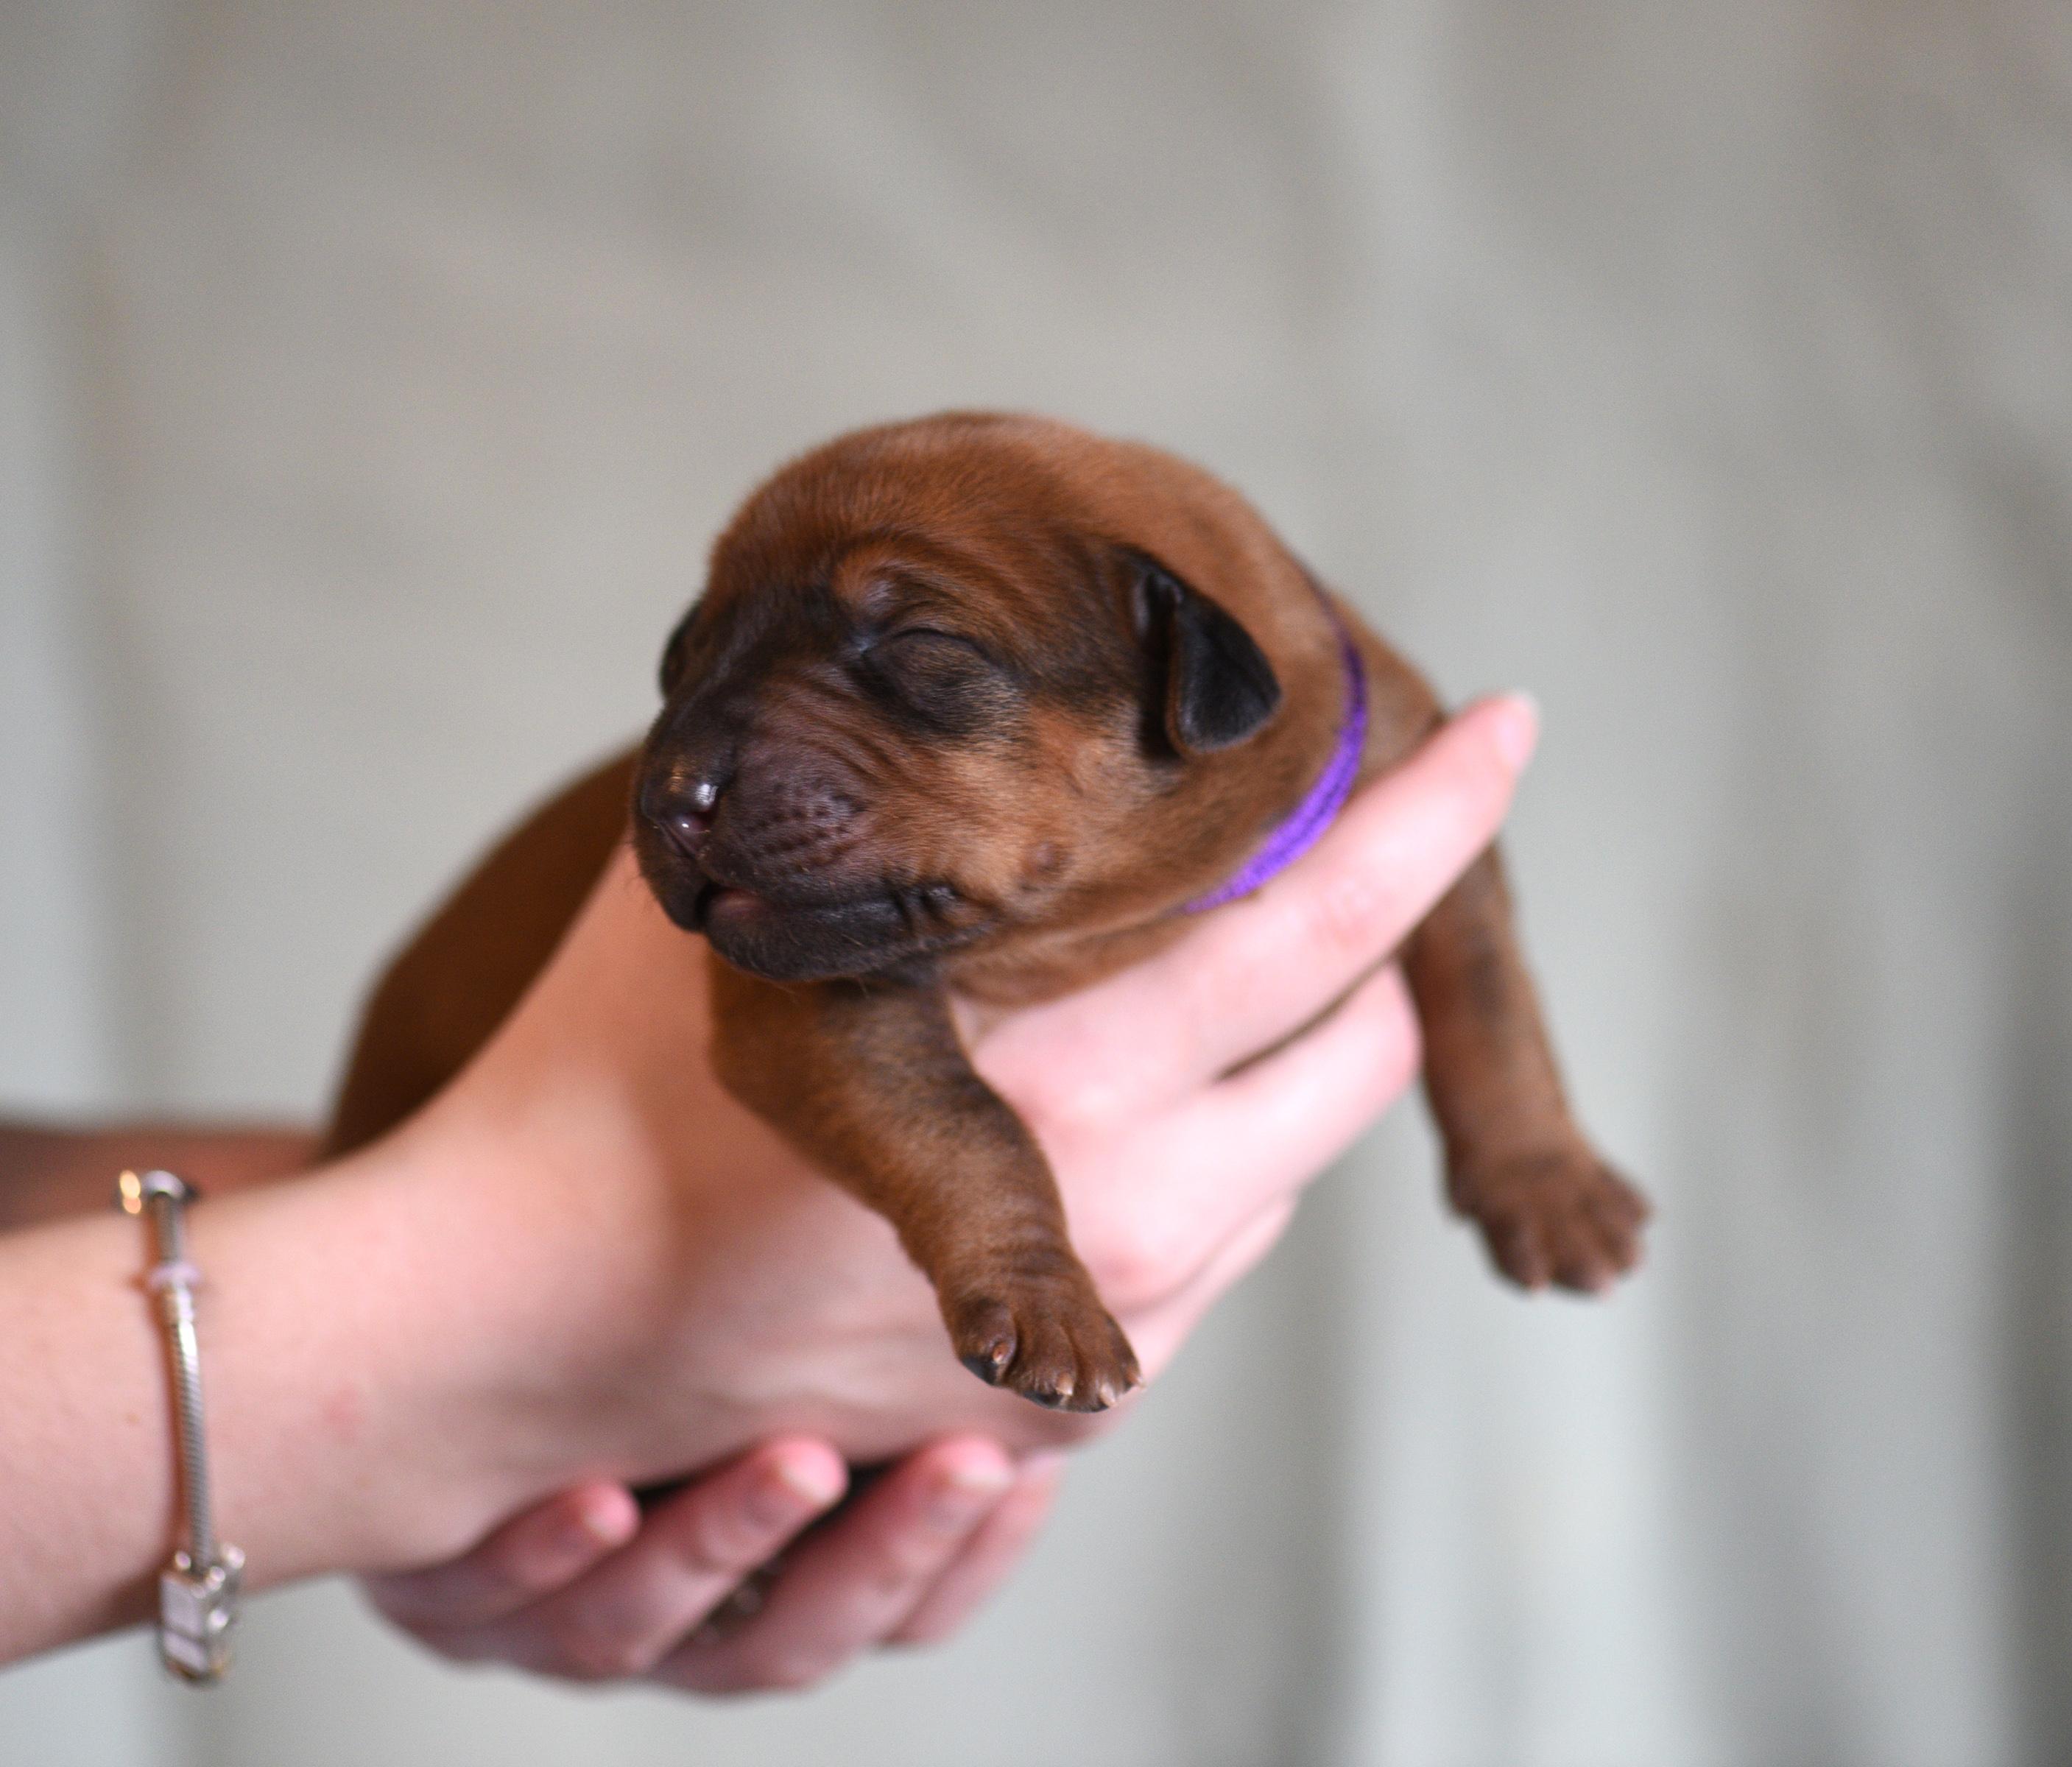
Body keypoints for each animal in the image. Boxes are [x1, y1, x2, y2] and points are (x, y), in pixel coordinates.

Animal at [326, 412, 1647, 1412]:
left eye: (918, 639)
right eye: (682, 659)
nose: (667, 794)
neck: (1126, 910)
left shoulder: (1433, 813)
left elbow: (1491, 1000)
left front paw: (1549, 1186)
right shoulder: (811, 998)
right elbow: (964, 1122)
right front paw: (1044, 1299)